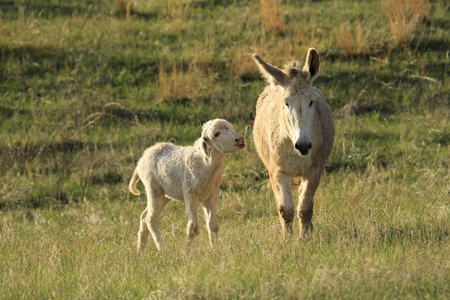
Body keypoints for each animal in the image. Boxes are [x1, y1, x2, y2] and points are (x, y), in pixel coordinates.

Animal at [128, 118, 244, 252]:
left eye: (231, 127)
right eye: (216, 134)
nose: (240, 139)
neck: (205, 164)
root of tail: (141, 159)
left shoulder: (210, 194)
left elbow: (213, 225)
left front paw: (216, 250)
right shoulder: (190, 194)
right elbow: (193, 227)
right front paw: (186, 252)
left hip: (165, 194)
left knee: (144, 216)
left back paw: (140, 251)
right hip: (153, 187)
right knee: (151, 218)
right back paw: (163, 249)